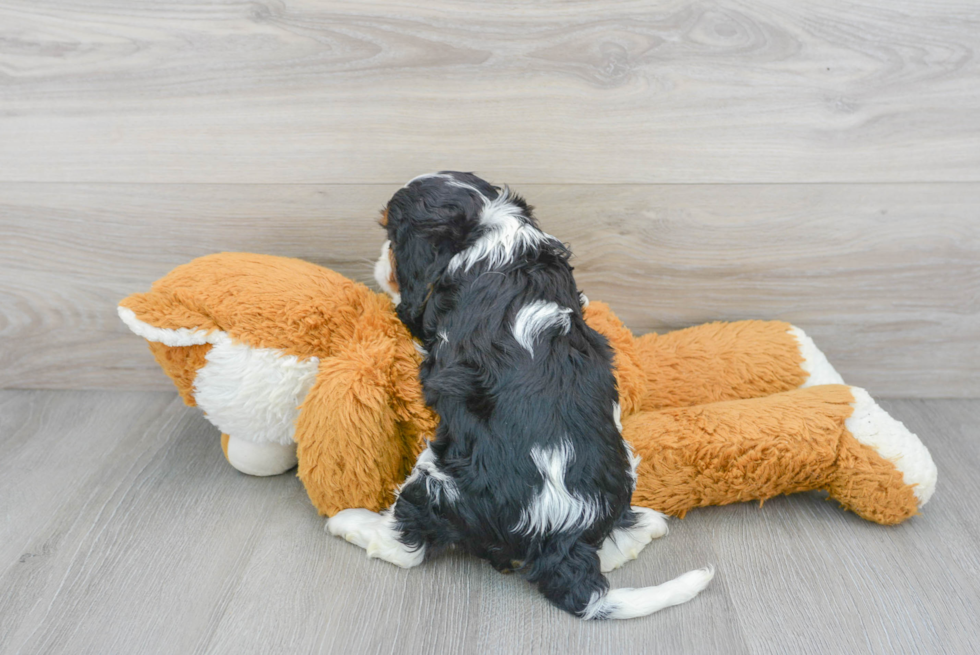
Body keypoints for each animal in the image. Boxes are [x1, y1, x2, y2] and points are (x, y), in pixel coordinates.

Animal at [330, 170, 712, 620]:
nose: (377, 260)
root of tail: (561, 532)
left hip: (440, 476)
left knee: (406, 542)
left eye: (391, 236)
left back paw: (349, 522)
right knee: (616, 546)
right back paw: (647, 525)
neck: (490, 232)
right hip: (622, 465)